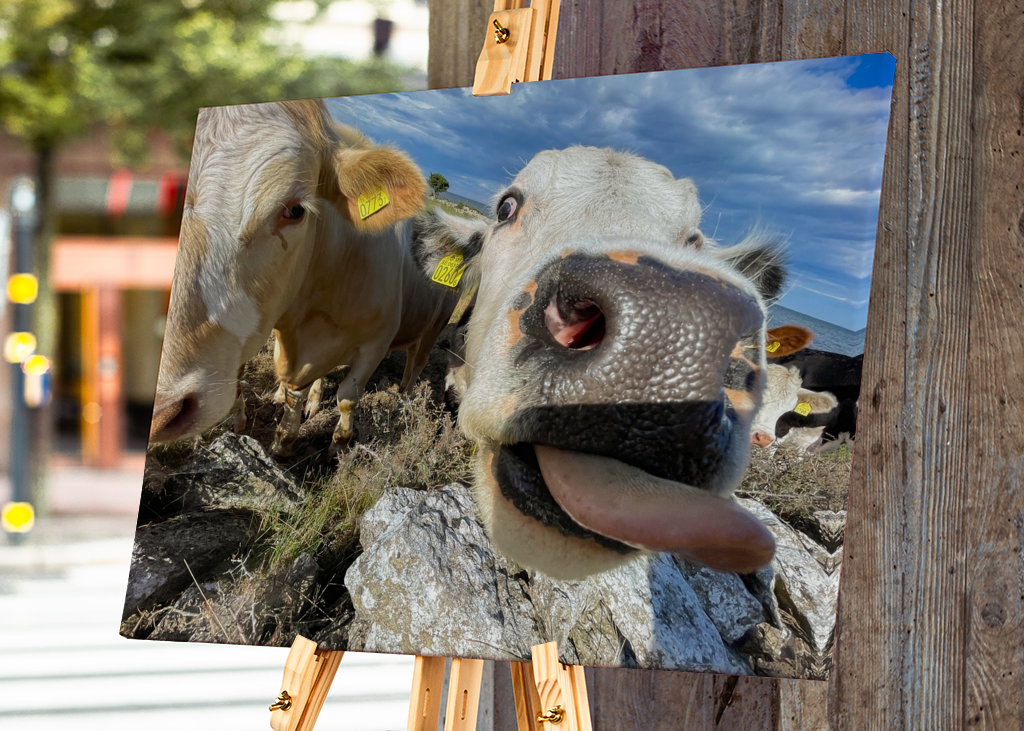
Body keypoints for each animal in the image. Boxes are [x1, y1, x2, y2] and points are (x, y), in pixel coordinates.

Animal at [148, 98, 456, 456]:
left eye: (295, 210)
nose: (163, 409)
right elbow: (294, 392)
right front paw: (283, 440)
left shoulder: (376, 342)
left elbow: (347, 398)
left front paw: (338, 449)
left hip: (433, 328)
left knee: (414, 365)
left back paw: (404, 401)